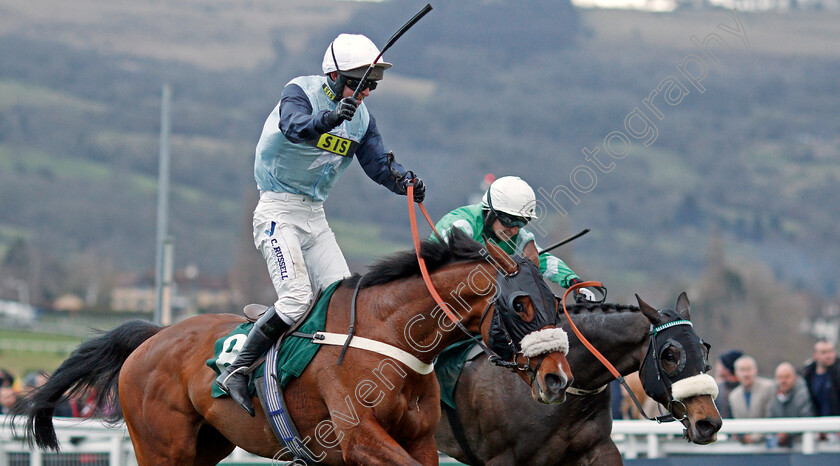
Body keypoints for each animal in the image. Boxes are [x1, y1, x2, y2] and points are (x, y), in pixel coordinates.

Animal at [13, 230, 576, 466]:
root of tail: (153, 337)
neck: (392, 337)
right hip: (160, 445)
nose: (558, 377)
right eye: (521, 303)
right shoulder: (360, 439)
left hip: (207, 445)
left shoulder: (416, 441)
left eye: (557, 300)